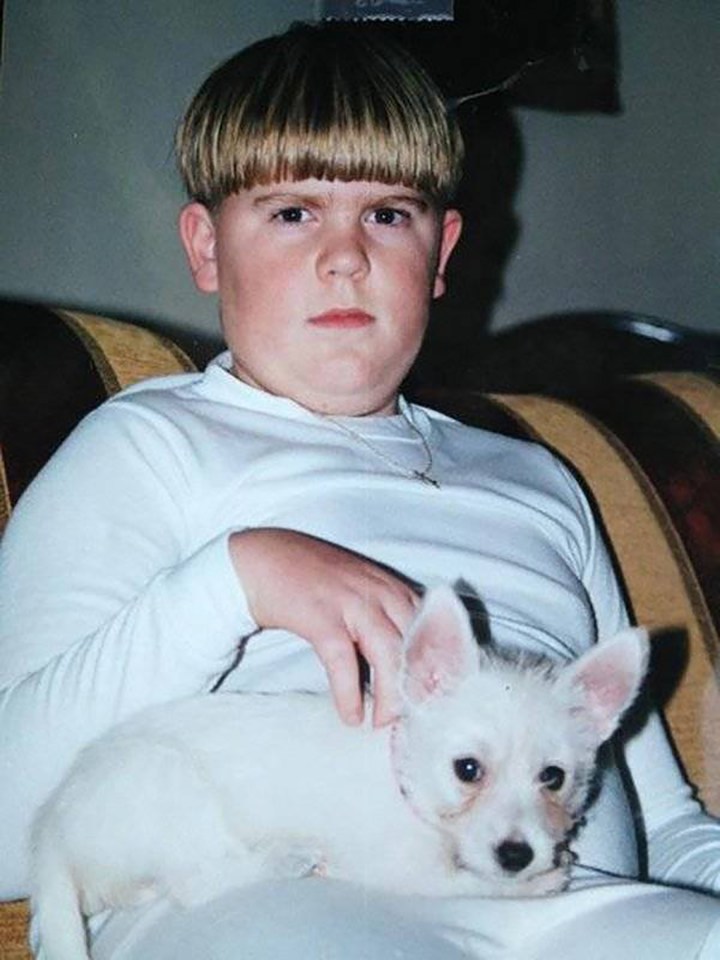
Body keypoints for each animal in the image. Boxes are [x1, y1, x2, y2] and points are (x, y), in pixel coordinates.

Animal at [31, 584, 648, 960]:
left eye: (553, 777)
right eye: (468, 769)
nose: (517, 856)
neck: (406, 784)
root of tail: (52, 834)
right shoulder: (407, 872)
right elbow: (473, 884)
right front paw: (536, 883)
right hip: (172, 789)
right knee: (194, 883)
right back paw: (287, 859)